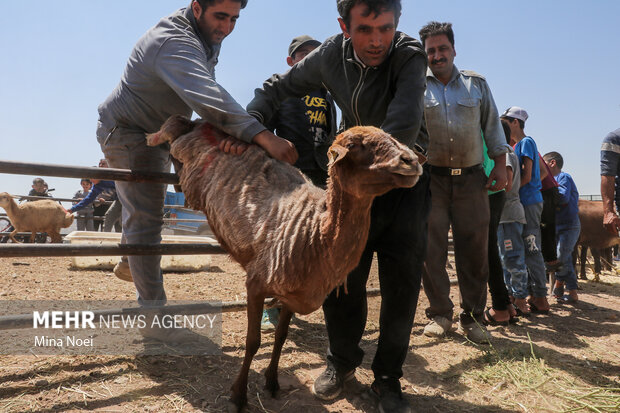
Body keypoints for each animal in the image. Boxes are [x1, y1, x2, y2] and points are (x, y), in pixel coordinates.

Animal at [147, 114, 426, 410]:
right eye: (355, 145)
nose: (411, 161)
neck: (317, 232)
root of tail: (202, 123)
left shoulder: (291, 296)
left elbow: (281, 338)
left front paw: (272, 382)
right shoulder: (255, 284)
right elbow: (253, 342)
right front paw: (238, 395)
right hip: (185, 140)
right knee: (174, 123)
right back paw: (155, 139)